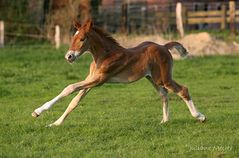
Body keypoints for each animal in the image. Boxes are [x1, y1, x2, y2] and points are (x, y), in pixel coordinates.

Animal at [31, 19, 205, 126]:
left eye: (82, 39)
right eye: (73, 37)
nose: (69, 56)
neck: (103, 55)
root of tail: (163, 46)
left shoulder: (99, 80)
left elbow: (70, 88)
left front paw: (38, 111)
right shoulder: (91, 80)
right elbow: (74, 101)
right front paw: (55, 123)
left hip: (163, 78)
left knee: (182, 90)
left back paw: (200, 116)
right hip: (152, 78)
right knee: (164, 94)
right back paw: (165, 121)